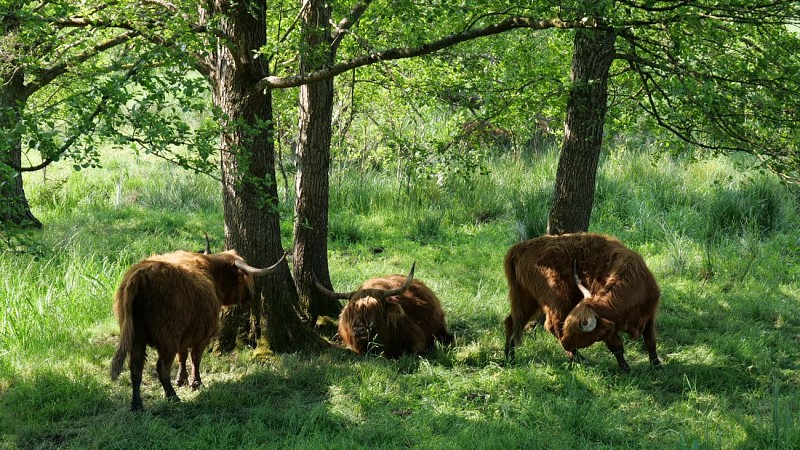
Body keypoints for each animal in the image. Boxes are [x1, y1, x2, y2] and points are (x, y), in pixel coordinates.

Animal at [110, 248, 287, 411]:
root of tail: (140, 276)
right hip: (168, 336)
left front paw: (182, 380)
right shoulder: (203, 334)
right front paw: (196, 383)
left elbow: (182, 357)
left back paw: (137, 405)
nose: (251, 294)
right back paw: (173, 397)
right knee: (162, 366)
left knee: (136, 367)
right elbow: (195, 358)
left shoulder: (185, 335)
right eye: (245, 277)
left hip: (136, 336)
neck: (212, 274)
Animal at [503, 232, 662, 371]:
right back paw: (578, 359)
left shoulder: (650, 315)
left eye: (576, 334)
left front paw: (657, 366)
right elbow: (617, 347)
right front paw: (626, 369)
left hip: (527, 299)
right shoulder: (609, 329)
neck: (635, 286)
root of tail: (519, 247)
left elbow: (650, 341)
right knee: (552, 325)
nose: (565, 344)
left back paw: (509, 358)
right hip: (557, 298)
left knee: (512, 322)